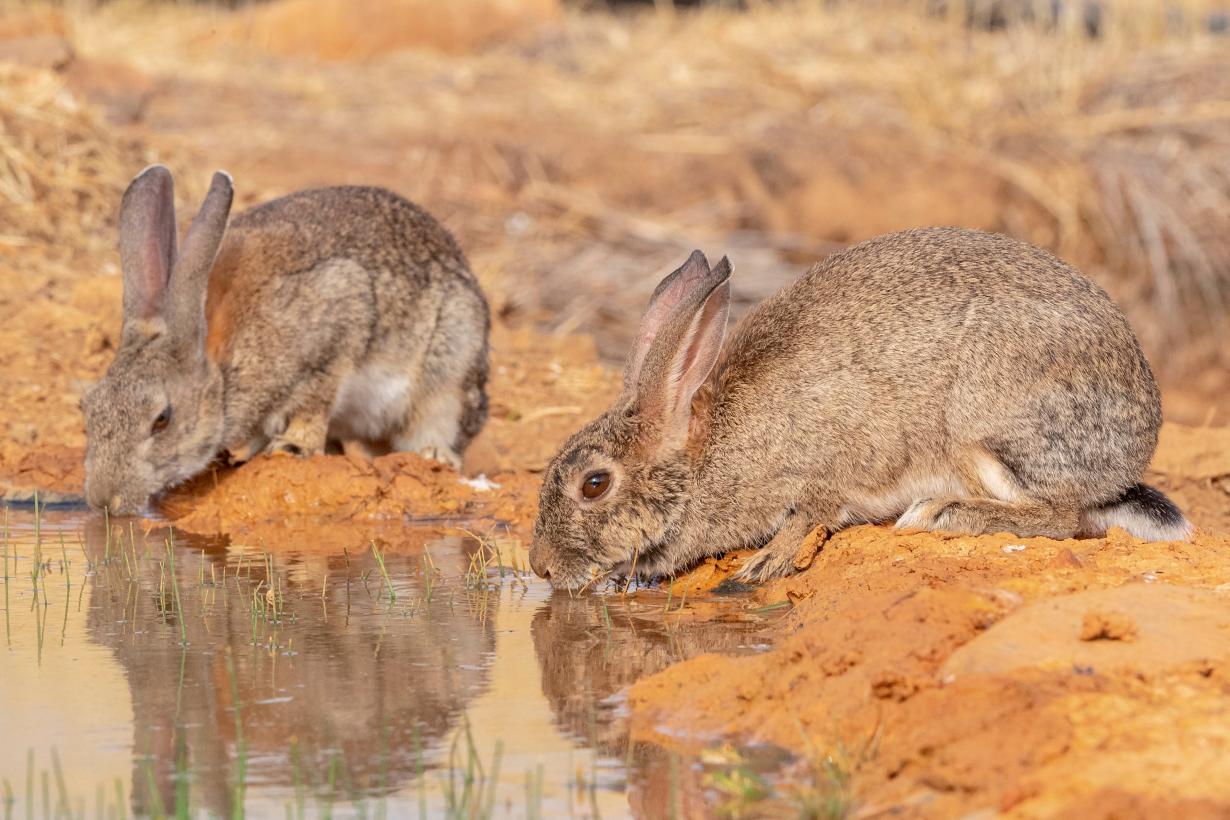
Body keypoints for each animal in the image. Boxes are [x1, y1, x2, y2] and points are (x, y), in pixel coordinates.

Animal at [81, 163, 489, 516]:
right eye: (87, 408)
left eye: (162, 420)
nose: (104, 501)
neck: (222, 370)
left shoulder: (336, 328)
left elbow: (313, 404)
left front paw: (292, 448)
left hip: (451, 367)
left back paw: (433, 455)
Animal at [528, 229, 1190, 590]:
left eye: (594, 484)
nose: (538, 569)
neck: (707, 454)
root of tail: (1132, 450)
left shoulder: (826, 466)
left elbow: (809, 513)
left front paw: (764, 562)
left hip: (981, 429)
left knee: (1062, 517)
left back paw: (943, 513)